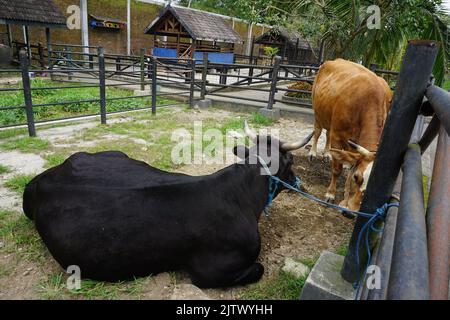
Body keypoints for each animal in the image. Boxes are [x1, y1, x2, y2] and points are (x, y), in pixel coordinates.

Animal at [23, 121, 312, 288]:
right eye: (292, 162)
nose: (301, 184)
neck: (240, 197)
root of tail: (44, 178)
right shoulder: (209, 272)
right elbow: (259, 268)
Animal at [308, 58, 392, 211]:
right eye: (358, 178)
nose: (353, 211)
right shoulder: (337, 136)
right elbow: (337, 169)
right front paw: (331, 194)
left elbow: (351, 166)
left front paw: (345, 199)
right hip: (317, 112)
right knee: (317, 132)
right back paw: (313, 152)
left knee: (327, 134)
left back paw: (327, 154)